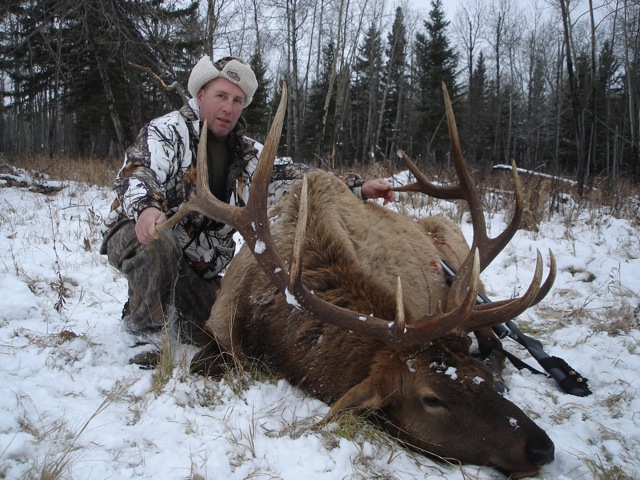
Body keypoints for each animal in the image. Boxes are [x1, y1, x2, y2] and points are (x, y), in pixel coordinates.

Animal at [158, 83, 557, 479]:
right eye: (432, 398)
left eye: (480, 378)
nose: (542, 448)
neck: (269, 331)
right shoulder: (219, 325)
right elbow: (202, 362)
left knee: (496, 344)